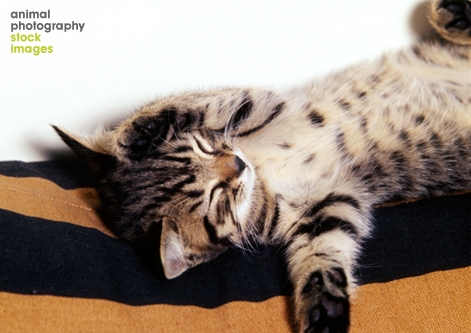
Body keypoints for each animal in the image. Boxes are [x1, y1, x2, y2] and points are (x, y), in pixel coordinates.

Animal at [53, 1, 471, 330]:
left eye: (204, 147)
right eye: (217, 198)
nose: (236, 164)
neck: (264, 171)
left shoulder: (262, 103)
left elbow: (192, 105)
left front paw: (140, 133)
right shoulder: (328, 205)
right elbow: (324, 252)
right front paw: (324, 307)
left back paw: (453, 13)